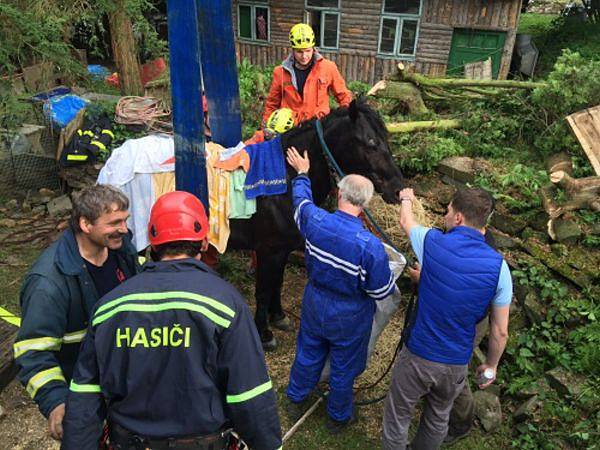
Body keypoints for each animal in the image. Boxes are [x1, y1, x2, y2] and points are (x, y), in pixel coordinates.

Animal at [227, 96, 406, 346]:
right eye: (371, 141)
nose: (398, 189)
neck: (284, 181)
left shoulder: (281, 251)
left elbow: (277, 283)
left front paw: (278, 316)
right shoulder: (268, 251)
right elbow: (263, 290)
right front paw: (264, 333)